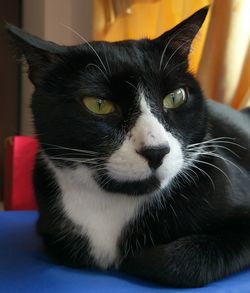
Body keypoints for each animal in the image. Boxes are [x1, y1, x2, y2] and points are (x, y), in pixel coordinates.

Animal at [6, 6, 250, 288]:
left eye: (175, 97)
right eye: (98, 104)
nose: (156, 151)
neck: (115, 201)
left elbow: (178, 262)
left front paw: (135, 259)